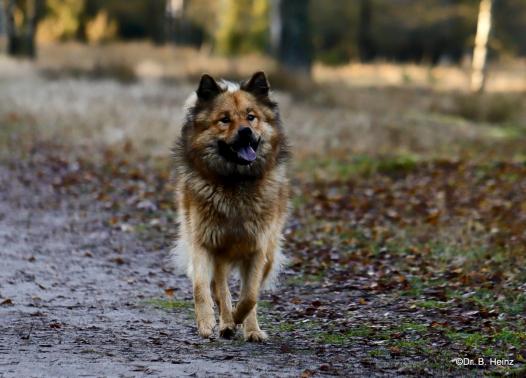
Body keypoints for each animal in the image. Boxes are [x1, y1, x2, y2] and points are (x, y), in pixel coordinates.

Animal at [173, 72, 290, 342]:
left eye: (251, 116)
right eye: (224, 120)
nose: (246, 132)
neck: (235, 182)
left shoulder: (258, 248)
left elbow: (250, 296)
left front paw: (241, 321)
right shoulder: (204, 243)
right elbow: (202, 288)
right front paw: (208, 323)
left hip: (269, 253)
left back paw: (248, 328)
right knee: (219, 290)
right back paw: (225, 323)